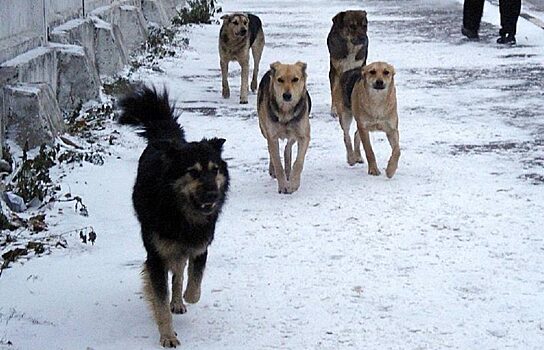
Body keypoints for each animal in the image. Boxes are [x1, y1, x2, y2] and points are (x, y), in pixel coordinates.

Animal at [119, 85, 230, 348]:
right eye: (193, 173)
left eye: (215, 170)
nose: (212, 194)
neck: (182, 214)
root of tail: (167, 137)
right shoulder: (157, 257)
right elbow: (160, 300)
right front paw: (168, 335)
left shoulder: (200, 246)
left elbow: (194, 282)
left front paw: (186, 297)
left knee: (180, 272)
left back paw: (178, 300)